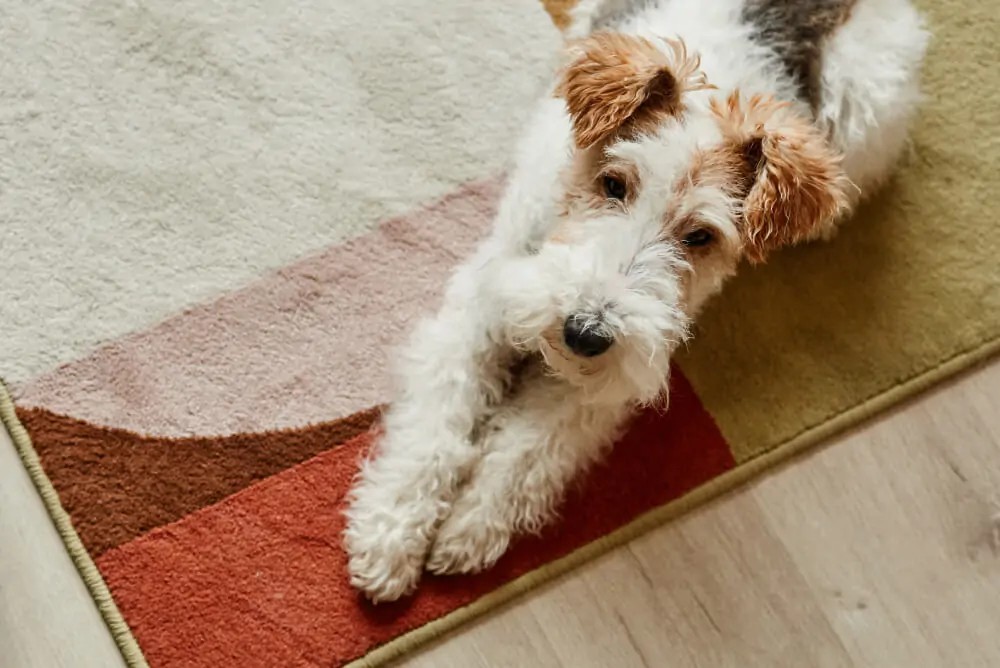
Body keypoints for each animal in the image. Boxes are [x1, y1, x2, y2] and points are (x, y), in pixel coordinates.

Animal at [342, 0, 928, 604]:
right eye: (613, 184)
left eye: (701, 236)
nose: (584, 332)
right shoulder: (479, 313)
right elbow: (434, 430)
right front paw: (388, 538)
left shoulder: (604, 376)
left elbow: (526, 449)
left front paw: (470, 528)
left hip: (865, 102)